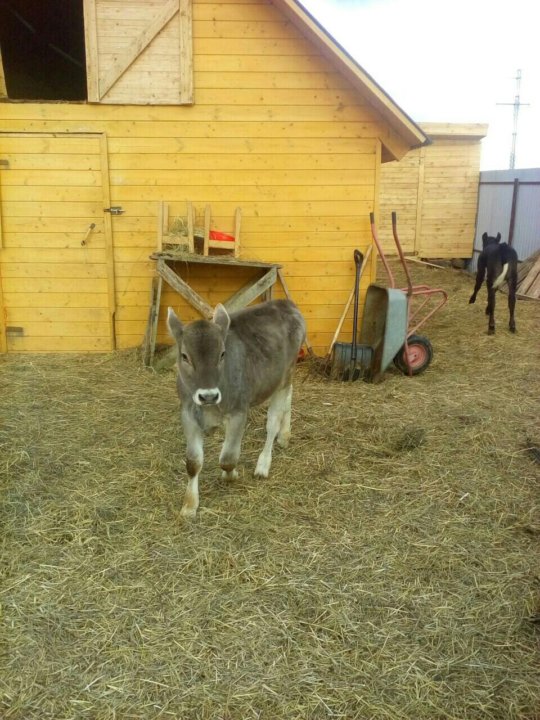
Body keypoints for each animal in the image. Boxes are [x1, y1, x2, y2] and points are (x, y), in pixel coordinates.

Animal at [167, 298, 306, 516]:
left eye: (222, 354)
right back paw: (285, 435)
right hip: (283, 379)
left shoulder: (239, 412)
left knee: (273, 423)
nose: (208, 395)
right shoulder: (188, 413)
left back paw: (263, 463)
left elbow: (228, 458)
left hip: (286, 374)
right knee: (289, 398)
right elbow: (193, 463)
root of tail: (284, 302)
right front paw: (189, 505)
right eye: (184, 356)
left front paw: (231, 476)